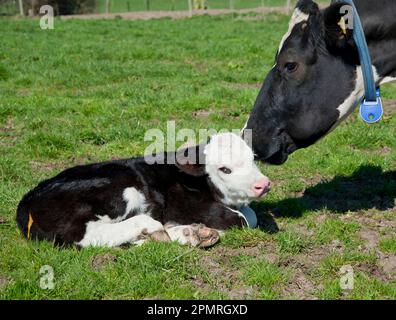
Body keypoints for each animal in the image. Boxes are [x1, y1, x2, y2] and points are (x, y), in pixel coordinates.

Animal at [15, 132, 270, 248]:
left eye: (252, 158)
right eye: (224, 169)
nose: (264, 184)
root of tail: (26, 203)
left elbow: (251, 214)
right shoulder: (187, 205)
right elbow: (243, 220)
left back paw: (189, 234)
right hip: (122, 189)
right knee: (84, 236)